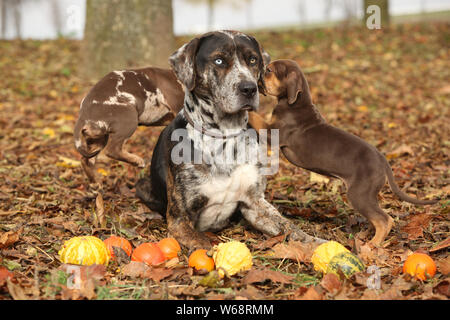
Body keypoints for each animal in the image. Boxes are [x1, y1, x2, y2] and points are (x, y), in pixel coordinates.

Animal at [134, 30, 324, 250]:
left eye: (253, 59)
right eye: (219, 60)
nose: (249, 89)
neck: (224, 134)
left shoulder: (255, 203)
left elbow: (290, 228)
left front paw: (318, 243)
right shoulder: (179, 218)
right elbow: (203, 244)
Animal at [248, 60, 438, 245]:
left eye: (269, 70)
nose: (257, 78)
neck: (295, 103)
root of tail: (383, 160)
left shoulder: (272, 133)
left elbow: (257, 118)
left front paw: (248, 109)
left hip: (359, 194)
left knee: (385, 220)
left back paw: (372, 245)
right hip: (367, 195)